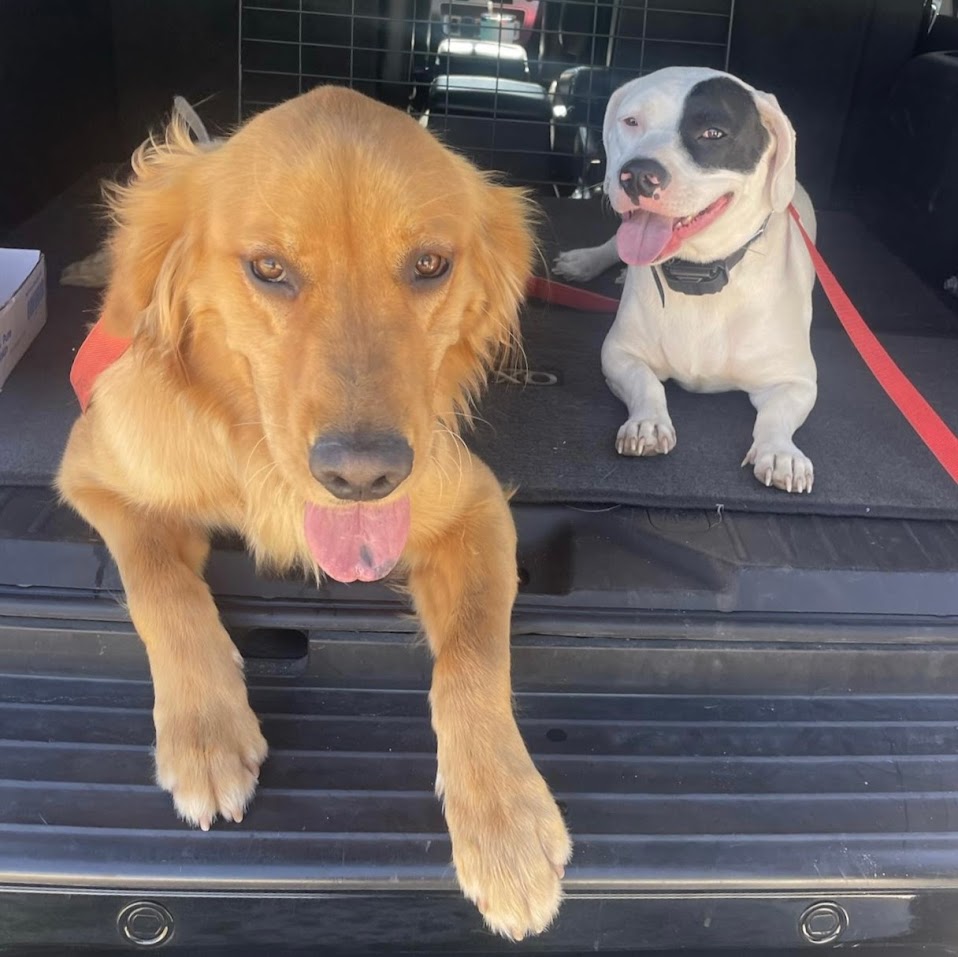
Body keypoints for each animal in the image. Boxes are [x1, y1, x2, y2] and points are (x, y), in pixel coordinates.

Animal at [556, 67, 816, 492]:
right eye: (631, 121)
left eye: (713, 133)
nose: (637, 175)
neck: (698, 273)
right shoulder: (619, 355)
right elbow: (646, 385)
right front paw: (647, 423)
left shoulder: (796, 380)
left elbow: (776, 416)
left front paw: (781, 453)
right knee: (613, 245)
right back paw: (586, 262)